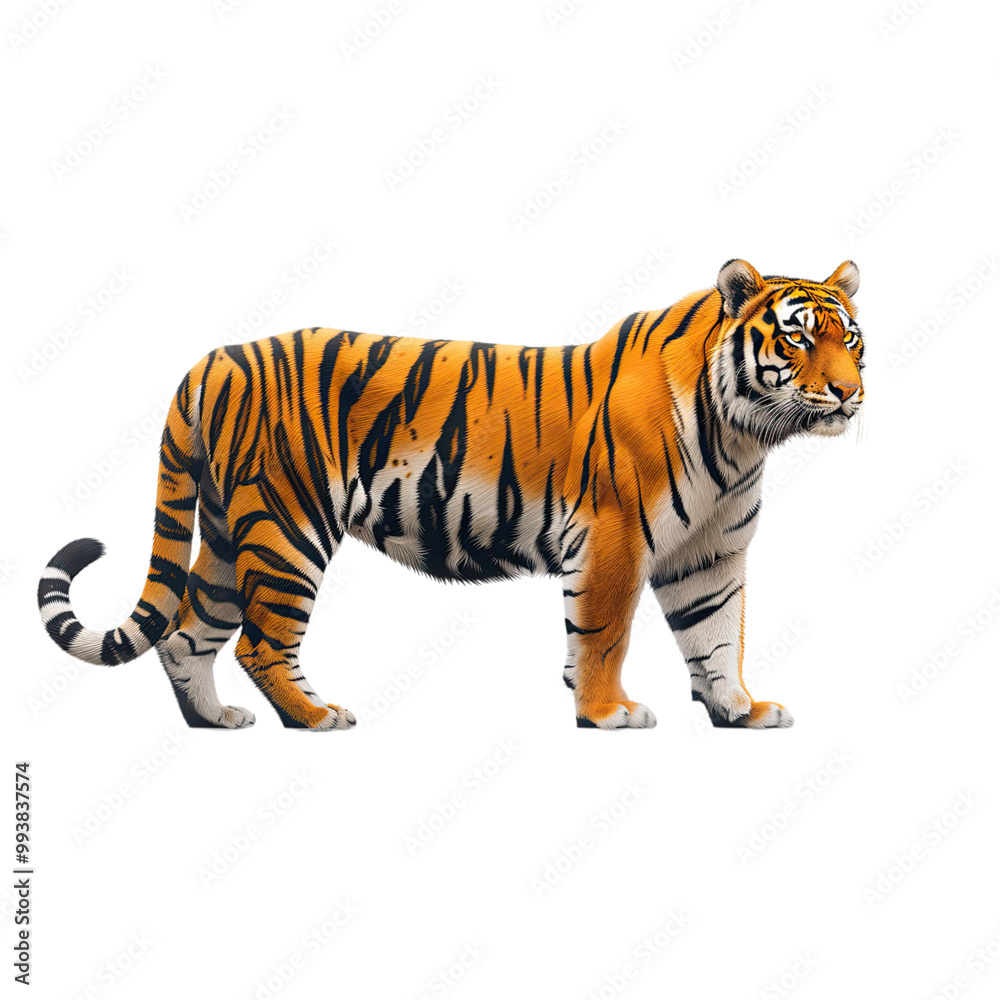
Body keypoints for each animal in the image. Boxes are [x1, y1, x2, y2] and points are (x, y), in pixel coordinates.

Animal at [37, 259, 864, 730]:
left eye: (849, 338)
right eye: (796, 337)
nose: (848, 394)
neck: (743, 436)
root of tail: (212, 360)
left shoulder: (709, 552)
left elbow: (717, 636)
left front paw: (741, 710)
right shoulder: (615, 538)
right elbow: (603, 636)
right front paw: (608, 713)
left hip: (224, 532)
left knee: (186, 635)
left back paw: (216, 722)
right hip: (285, 528)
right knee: (259, 642)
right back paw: (316, 716)